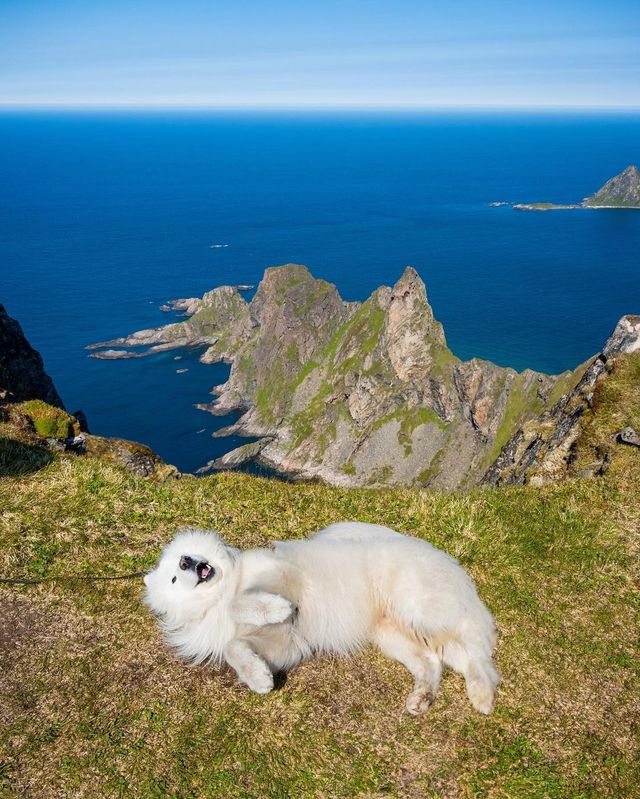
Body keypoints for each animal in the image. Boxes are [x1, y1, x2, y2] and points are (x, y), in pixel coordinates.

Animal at [145, 520, 500, 716]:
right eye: (174, 578)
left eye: (181, 560)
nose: (188, 561)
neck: (223, 588)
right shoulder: (284, 642)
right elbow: (236, 648)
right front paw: (259, 679)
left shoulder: (283, 576)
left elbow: (241, 603)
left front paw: (274, 608)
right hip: (392, 635)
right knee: (433, 661)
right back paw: (422, 699)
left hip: (417, 612)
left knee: (474, 654)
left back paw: (482, 696)